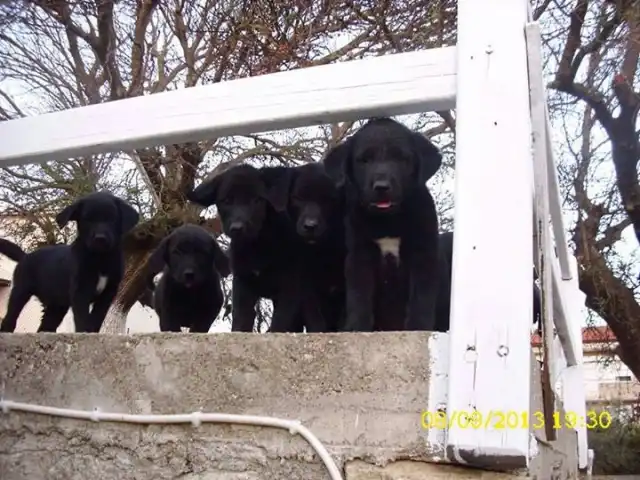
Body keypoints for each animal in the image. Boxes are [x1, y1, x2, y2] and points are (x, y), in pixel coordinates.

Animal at [0, 189, 139, 332]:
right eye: (87, 219)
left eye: (112, 219)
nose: (100, 239)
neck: (100, 258)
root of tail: (25, 255)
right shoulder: (80, 292)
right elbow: (82, 319)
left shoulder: (108, 293)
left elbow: (96, 318)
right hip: (20, 292)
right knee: (10, 319)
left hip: (57, 307)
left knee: (45, 327)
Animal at [188, 163, 300, 332]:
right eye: (227, 200)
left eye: (256, 200)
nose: (237, 228)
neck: (257, 245)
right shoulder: (242, 282)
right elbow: (241, 317)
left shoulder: (290, 284)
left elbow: (281, 319)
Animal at [322, 118, 442, 332]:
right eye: (364, 160)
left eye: (401, 159)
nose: (382, 187)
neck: (388, 221)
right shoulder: (360, 254)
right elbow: (359, 296)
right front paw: (356, 328)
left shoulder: (423, 254)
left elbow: (421, 297)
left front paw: (419, 327)